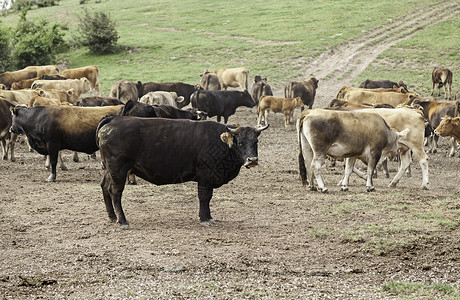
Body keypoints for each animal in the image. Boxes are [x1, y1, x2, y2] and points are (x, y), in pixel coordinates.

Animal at [97, 116, 270, 229]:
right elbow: (204, 197)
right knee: (115, 192)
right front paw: (204, 218)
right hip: (118, 170)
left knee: (105, 187)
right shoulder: (205, 175)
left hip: (109, 170)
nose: (252, 160)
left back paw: (112, 216)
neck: (219, 142)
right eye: (239, 142)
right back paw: (122, 220)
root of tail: (114, 120)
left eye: (256, 141)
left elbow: (208, 198)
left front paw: (209, 217)